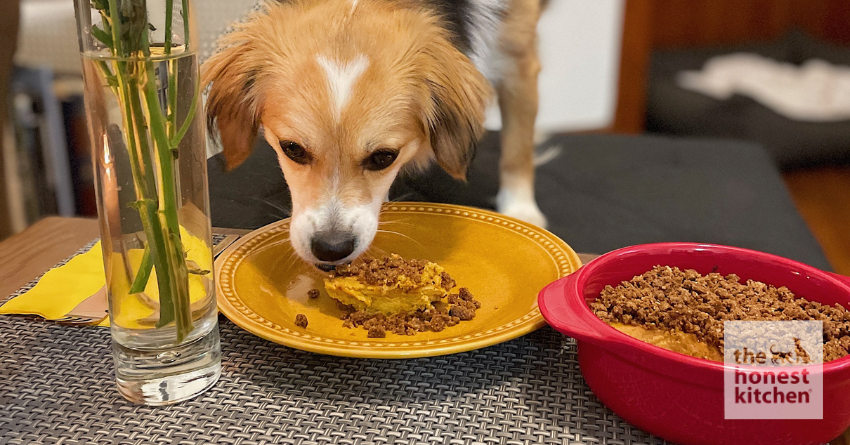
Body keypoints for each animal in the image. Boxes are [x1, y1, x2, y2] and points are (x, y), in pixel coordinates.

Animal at [205, 0, 548, 270]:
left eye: (384, 157)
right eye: (292, 149)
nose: (331, 249)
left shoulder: (517, 57)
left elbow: (518, 151)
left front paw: (521, 210)